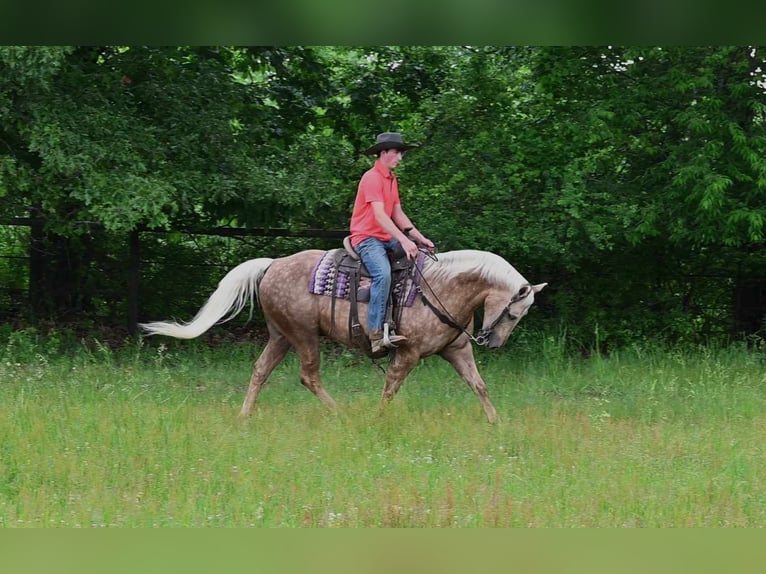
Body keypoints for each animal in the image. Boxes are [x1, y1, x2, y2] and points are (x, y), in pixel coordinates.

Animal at [139, 248, 546, 423]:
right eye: (514, 311)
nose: (493, 343)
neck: (442, 287)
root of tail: (272, 264)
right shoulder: (408, 355)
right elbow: (390, 388)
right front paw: (377, 420)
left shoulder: (458, 350)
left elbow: (479, 386)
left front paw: (495, 423)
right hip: (304, 335)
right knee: (308, 376)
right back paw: (340, 413)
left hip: (281, 335)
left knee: (260, 371)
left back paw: (244, 416)